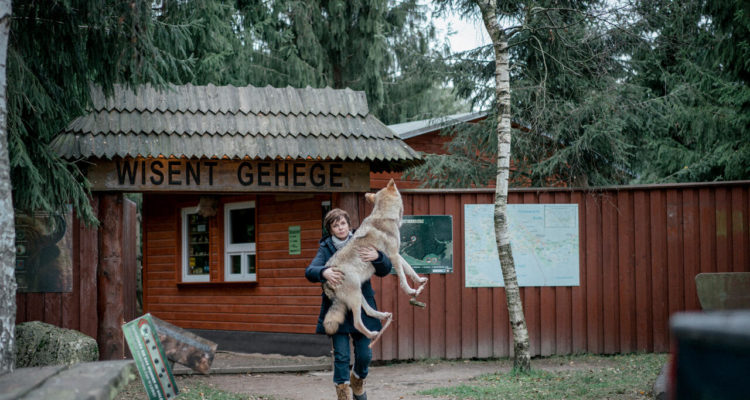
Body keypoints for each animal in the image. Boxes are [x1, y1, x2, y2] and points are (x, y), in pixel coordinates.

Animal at [324, 180, 428, 346]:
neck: (386, 215)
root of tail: (326, 281)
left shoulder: (397, 254)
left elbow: (410, 269)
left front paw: (420, 281)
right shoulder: (393, 256)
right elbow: (403, 277)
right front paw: (410, 291)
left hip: (358, 292)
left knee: (367, 310)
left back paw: (383, 316)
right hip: (355, 295)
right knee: (357, 323)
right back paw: (372, 333)